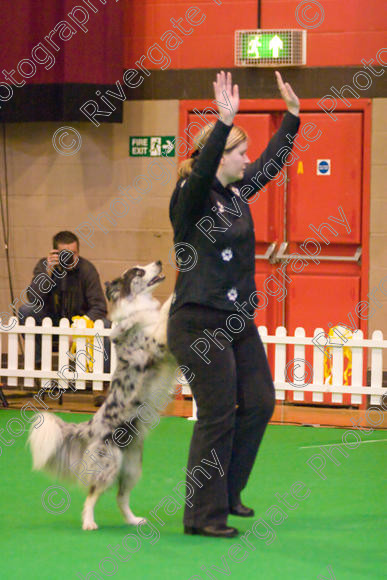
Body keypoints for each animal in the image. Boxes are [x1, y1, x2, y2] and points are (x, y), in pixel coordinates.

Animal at [28, 262, 177, 532]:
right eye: (138, 272)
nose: (159, 263)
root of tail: (91, 426)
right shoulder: (153, 346)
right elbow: (162, 316)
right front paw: (173, 296)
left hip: (131, 467)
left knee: (121, 497)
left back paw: (133, 520)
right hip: (109, 464)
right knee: (92, 493)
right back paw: (88, 522)